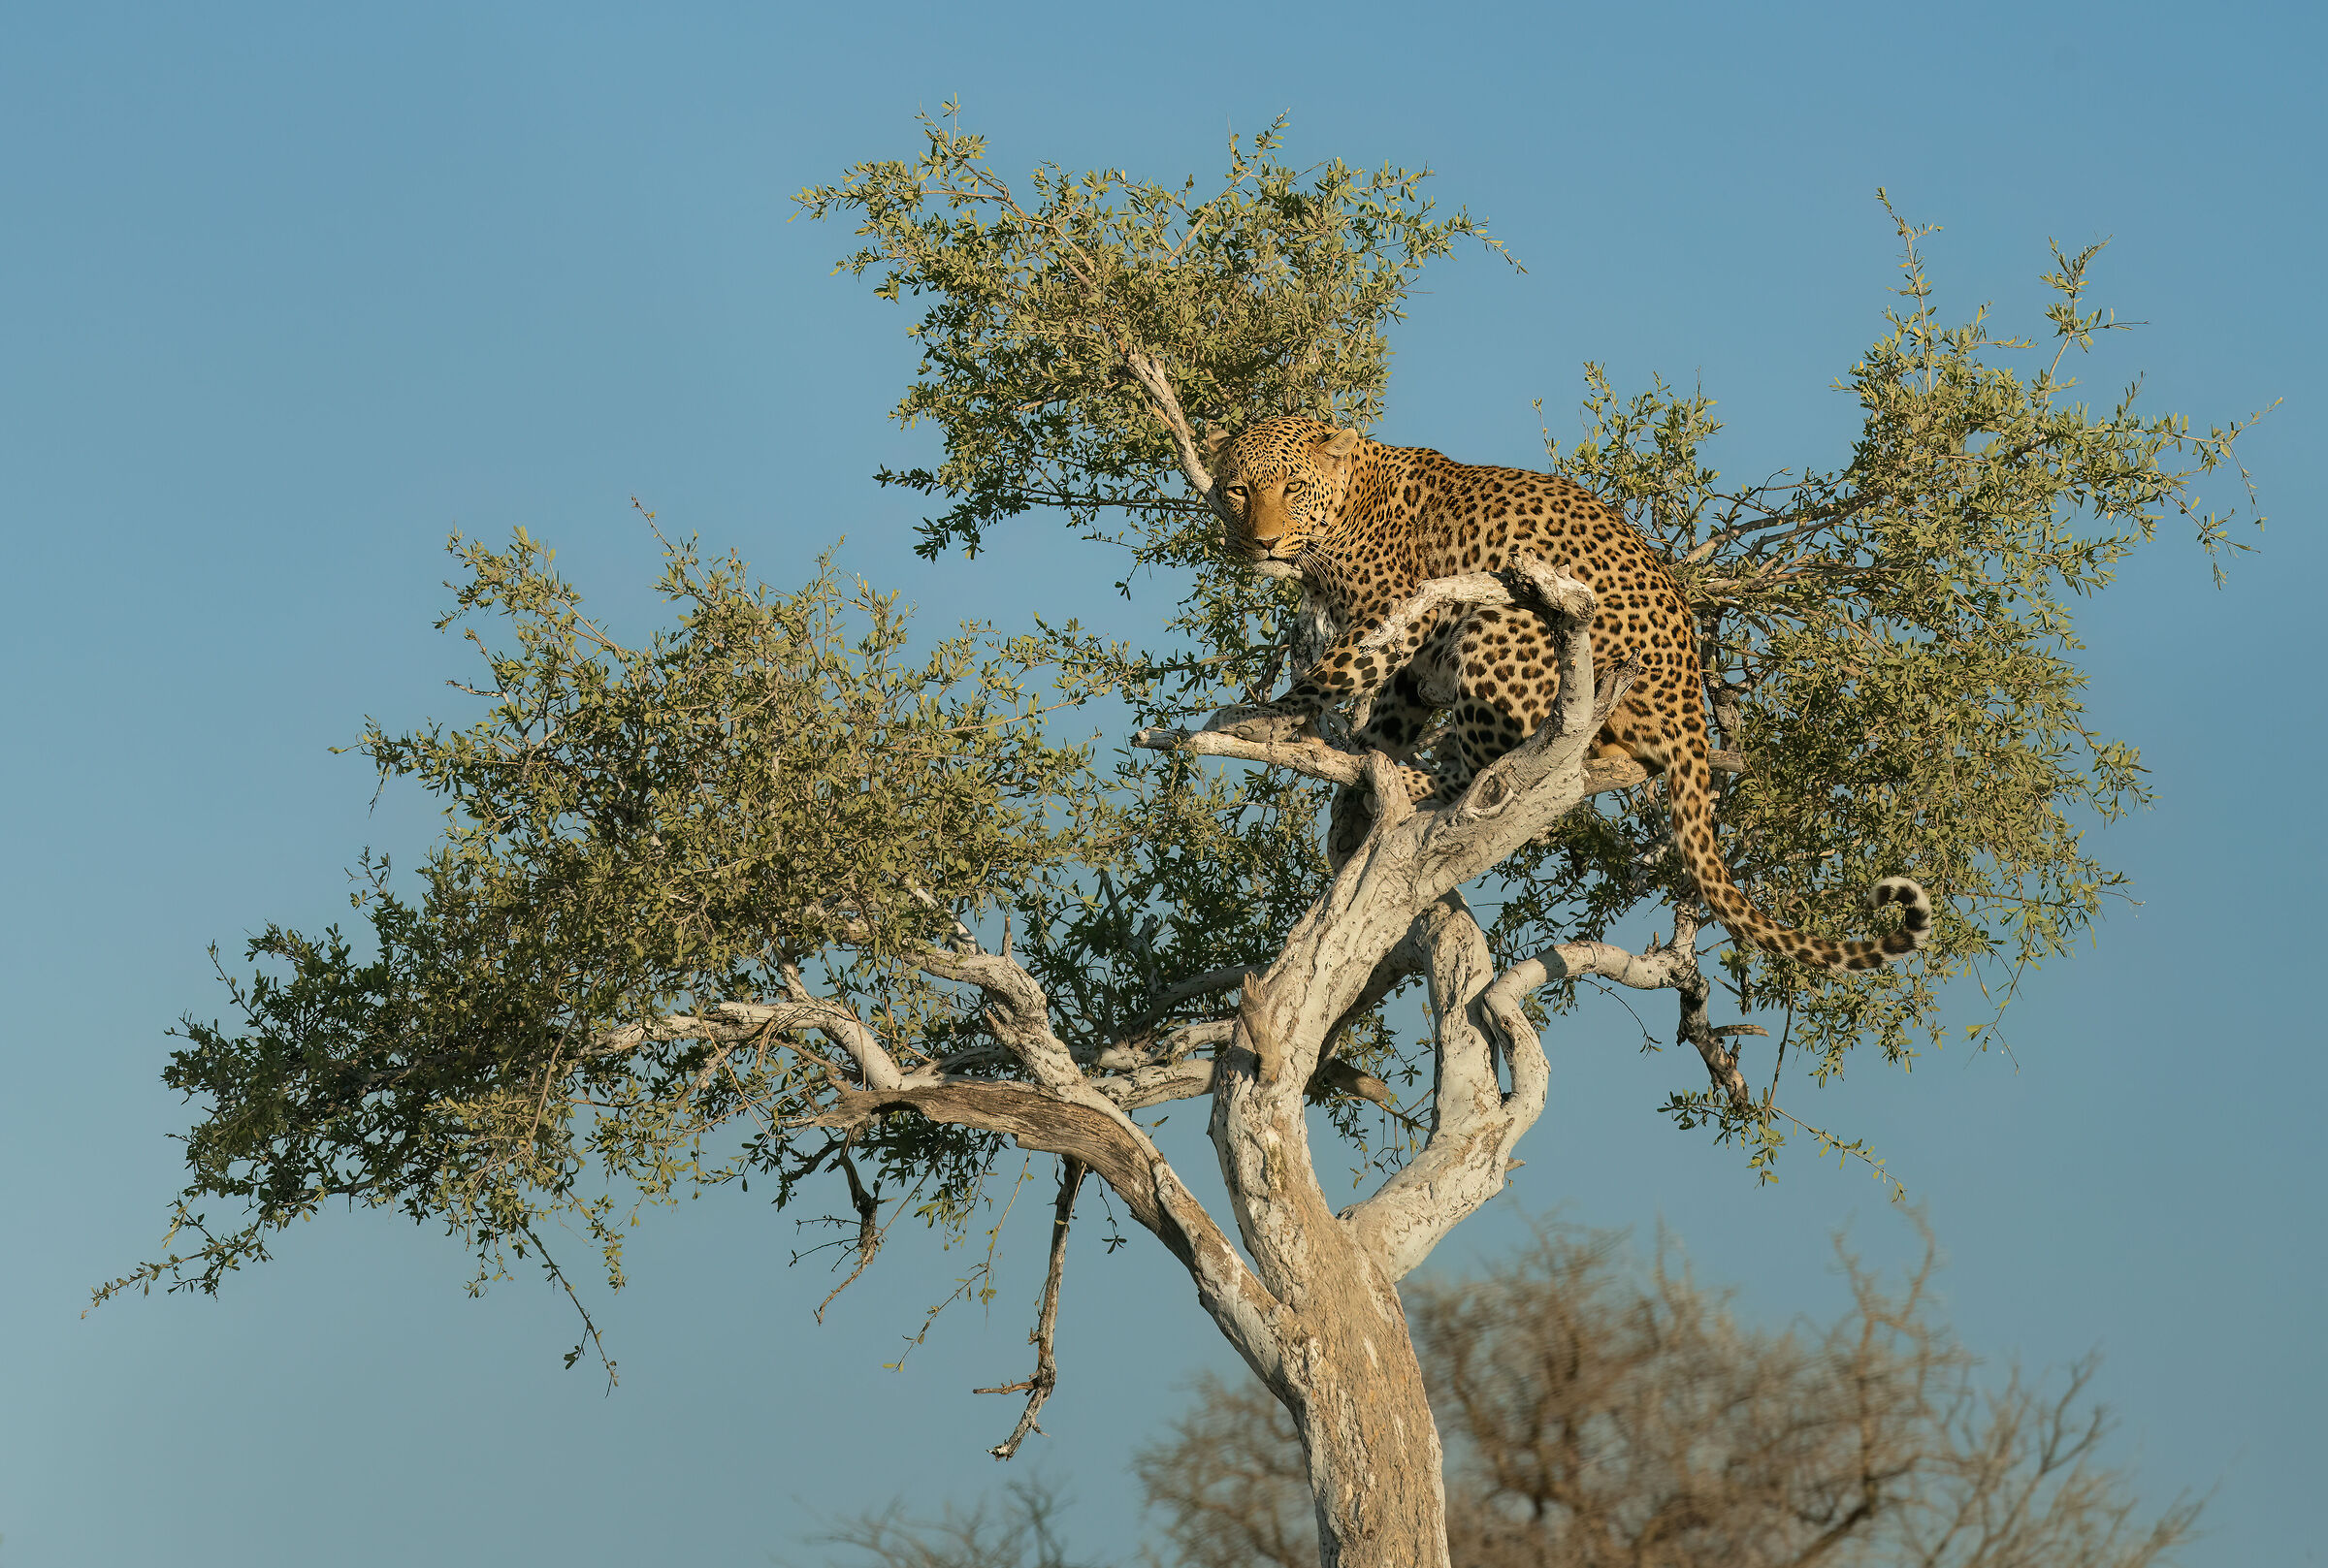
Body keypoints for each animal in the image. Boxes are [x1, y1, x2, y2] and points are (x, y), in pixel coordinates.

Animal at [1203, 415, 1929, 975]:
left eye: (1292, 488)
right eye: (1238, 489)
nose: (1262, 541)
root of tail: (1691, 703)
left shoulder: (1394, 612)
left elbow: (1338, 672)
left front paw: (1261, 715)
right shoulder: (1410, 665)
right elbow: (1385, 717)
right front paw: (1352, 804)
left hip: (1502, 622)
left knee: (1493, 774)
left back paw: (1421, 783)